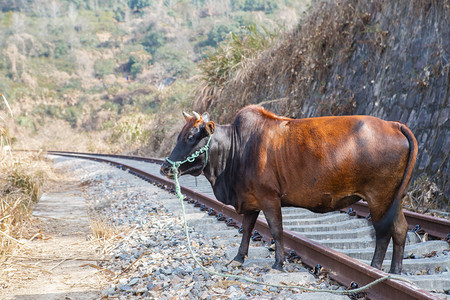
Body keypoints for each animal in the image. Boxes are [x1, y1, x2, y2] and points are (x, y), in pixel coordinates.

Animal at [160, 105, 416, 274]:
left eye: (191, 136)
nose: (165, 166)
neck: (236, 148)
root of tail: (393, 124)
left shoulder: (269, 197)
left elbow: (276, 230)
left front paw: (278, 263)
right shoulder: (250, 199)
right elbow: (246, 229)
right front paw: (238, 258)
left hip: (379, 197)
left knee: (383, 232)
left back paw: (375, 269)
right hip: (394, 199)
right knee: (400, 229)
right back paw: (394, 271)